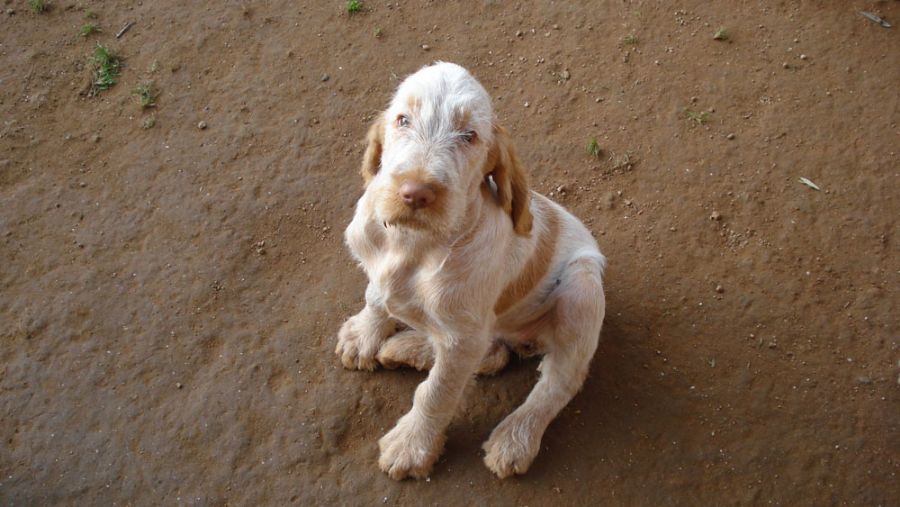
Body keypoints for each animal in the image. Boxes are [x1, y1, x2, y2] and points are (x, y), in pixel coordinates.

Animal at [336, 62, 606, 480]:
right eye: (402, 120)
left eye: (469, 136)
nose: (415, 193)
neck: (416, 245)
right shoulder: (380, 269)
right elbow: (376, 296)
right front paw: (364, 336)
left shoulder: (463, 336)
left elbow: (436, 392)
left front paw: (411, 445)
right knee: (491, 354)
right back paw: (408, 347)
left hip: (583, 287)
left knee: (560, 380)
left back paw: (515, 438)